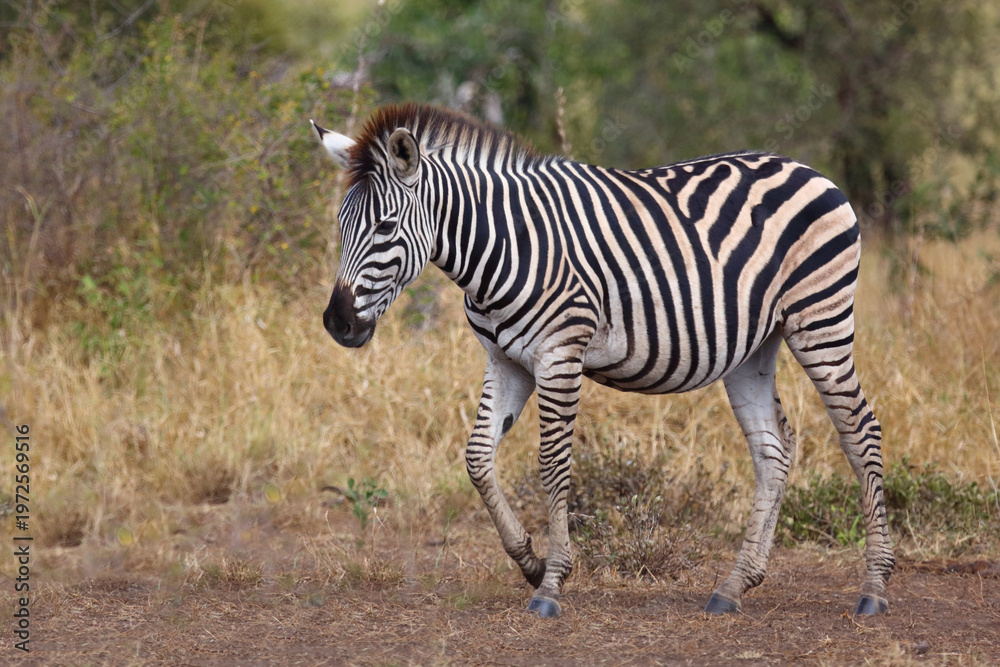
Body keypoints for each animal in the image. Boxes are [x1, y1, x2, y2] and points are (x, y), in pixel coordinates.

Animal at [312, 103, 894, 618]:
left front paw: (551, 583)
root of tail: (809, 170)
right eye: (340, 224)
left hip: (820, 319)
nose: (338, 323)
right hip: (754, 347)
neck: (501, 247)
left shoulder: (559, 354)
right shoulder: (505, 361)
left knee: (859, 429)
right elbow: (477, 457)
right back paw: (734, 586)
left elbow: (552, 464)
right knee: (774, 447)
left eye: (385, 227)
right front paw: (528, 560)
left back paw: (874, 588)